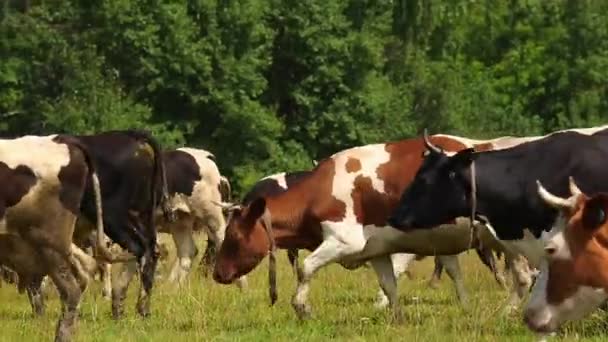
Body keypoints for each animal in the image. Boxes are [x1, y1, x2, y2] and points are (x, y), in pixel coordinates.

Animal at [213, 132, 536, 320]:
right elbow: (389, 285)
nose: (217, 274)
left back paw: (505, 314)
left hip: (512, 242)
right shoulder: (376, 249)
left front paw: (302, 308)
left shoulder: (345, 241)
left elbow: (306, 268)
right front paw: (397, 317)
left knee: (524, 278)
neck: (318, 191)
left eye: (234, 236)